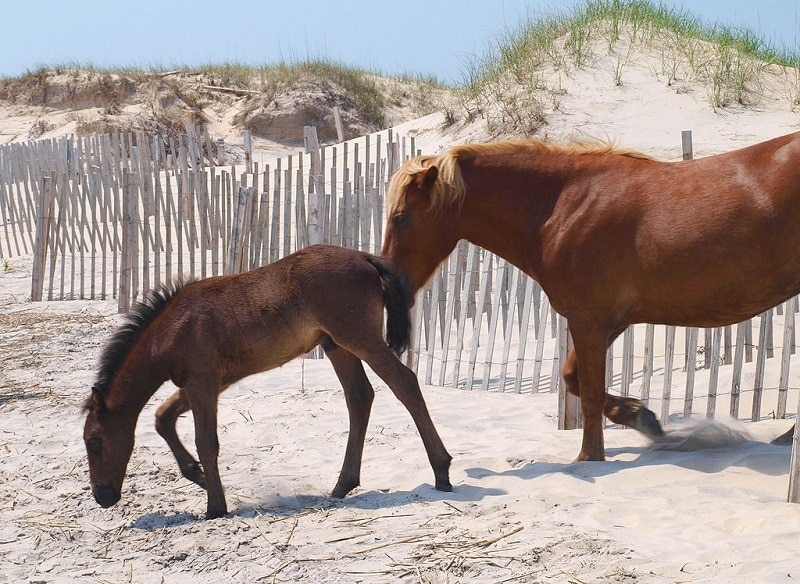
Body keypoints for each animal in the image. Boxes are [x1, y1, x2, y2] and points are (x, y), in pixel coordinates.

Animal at [85, 244, 454, 516]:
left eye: (94, 442)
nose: (102, 496)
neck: (171, 326)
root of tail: (365, 258)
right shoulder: (207, 383)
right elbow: (163, 418)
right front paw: (199, 476)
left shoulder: (202, 382)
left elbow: (207, 440)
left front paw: (215, 507)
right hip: (335, 345)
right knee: (359, 397)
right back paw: (342, 485)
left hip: (356, 336)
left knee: (404, 382)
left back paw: (441, 471)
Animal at [380, 131, 800, 460]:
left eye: (402, 217)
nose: (389, 284)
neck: (564, 205)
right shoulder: (607, 321)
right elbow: (574, 380)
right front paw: (641, 417)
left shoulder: (588, 320)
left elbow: (591, 393)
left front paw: (589, 456)